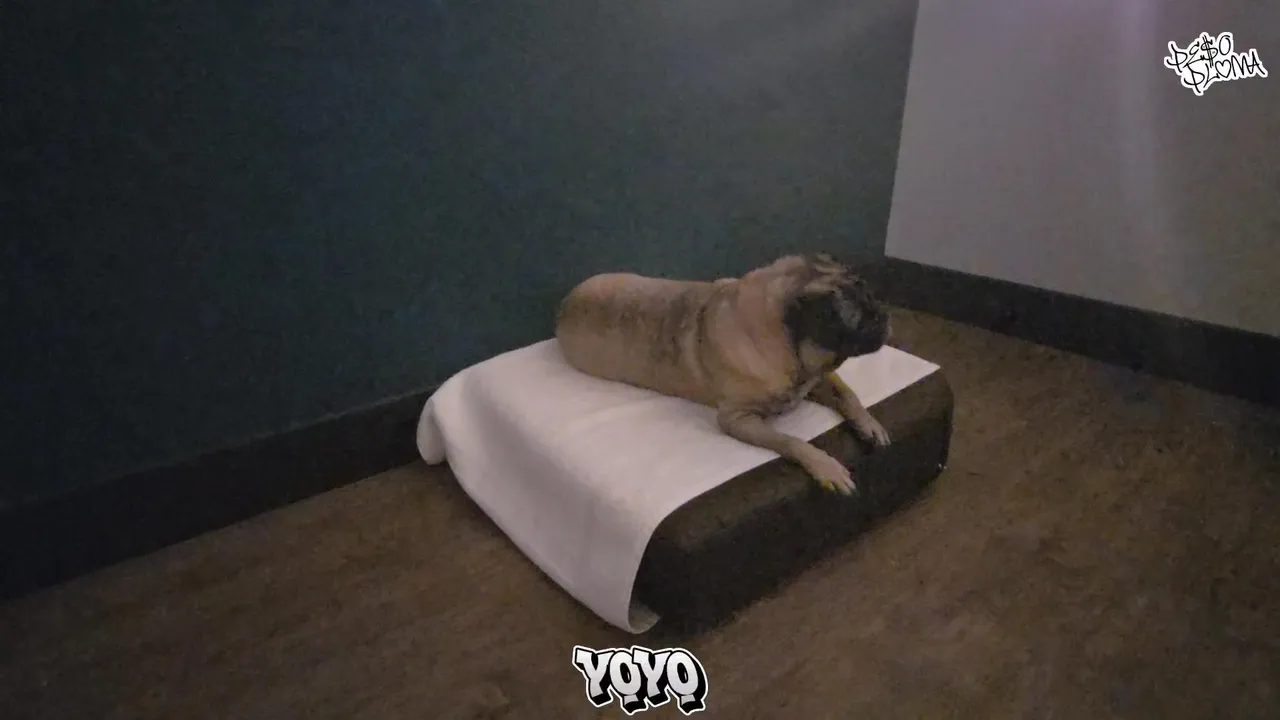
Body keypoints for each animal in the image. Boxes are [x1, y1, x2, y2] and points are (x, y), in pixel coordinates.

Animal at [554, 253, 892, 494]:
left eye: (872, 298)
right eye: (859, 320)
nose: (884, 315)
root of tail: (565, 303)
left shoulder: (815, 379)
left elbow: (846, 393)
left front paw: (869, 423)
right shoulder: (737, 419)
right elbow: (791, 441)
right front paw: (825, 466)